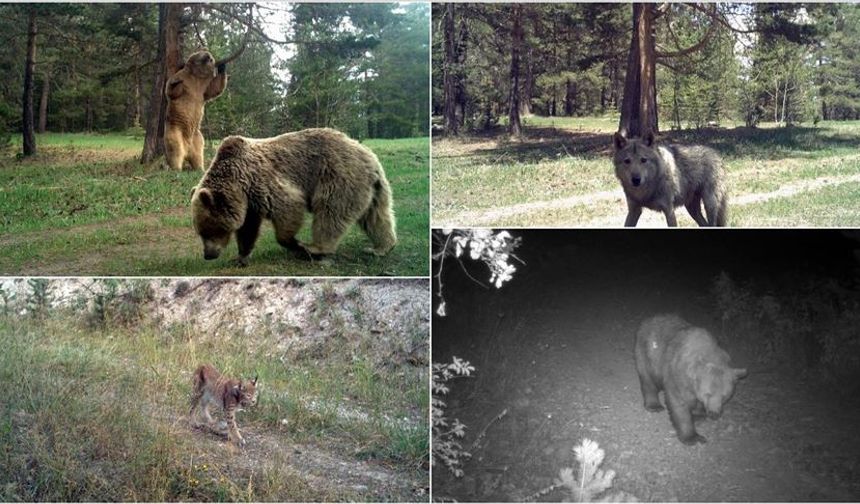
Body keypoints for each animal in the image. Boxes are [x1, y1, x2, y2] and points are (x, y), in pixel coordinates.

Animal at [188, 128, 396, 266]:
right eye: (200, 231)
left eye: (209, 230)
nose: (208, 255)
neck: (240, 184)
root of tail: (369, 156)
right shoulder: (250, 202)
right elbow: (248, 229)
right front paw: (240, 257)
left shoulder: (264, 183)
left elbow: (289, 206)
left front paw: (295, 243)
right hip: (372, 188)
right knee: (377, 217)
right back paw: (381, 247)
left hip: (339, 177)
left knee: (331, 212)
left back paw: (316, 248)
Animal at [632, 316, 744, 444]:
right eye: (708, 394)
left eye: (725, 396)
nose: (714, 414)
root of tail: (650, 319)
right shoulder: (677, 374)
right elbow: (679, 403)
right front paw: (692, 437)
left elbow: (697, 402)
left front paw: (698, 415)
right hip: (646, 353)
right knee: (648, 379)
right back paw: (654, 406)